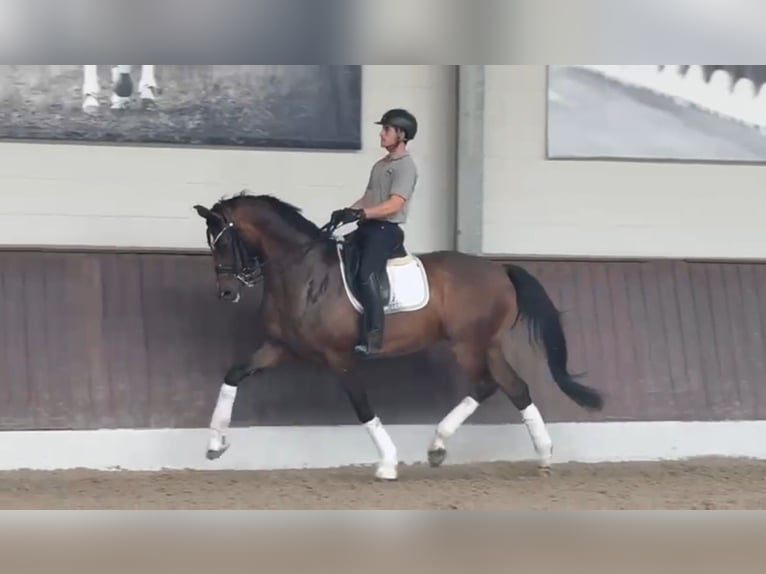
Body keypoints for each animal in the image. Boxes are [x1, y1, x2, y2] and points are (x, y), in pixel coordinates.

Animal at [193, 191, 604, 480]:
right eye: (211, 243)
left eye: (224, 242)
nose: (226, 292)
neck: (304, 272)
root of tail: (499, 269)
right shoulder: (281, 347)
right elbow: (233, 375)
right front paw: (214, 444)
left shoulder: (338, 356)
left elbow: (362, 407)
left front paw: (387, 463)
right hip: (487, 345)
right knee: (514, 387)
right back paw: (541, 455)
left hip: (469, 344)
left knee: (489, 384)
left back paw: (442, 445)